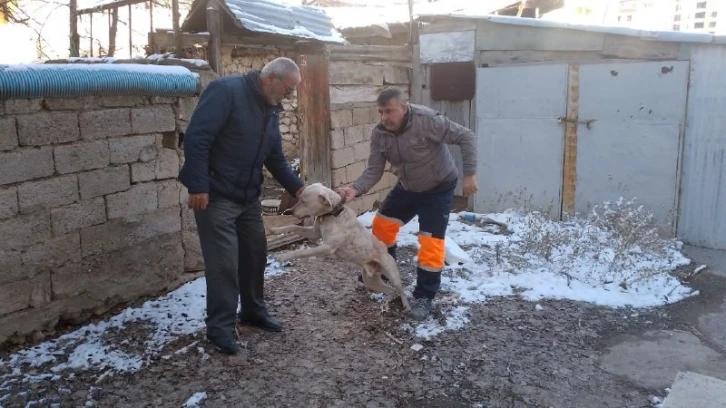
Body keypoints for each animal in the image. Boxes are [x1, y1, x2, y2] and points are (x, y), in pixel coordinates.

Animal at [270, 182, 412, 312]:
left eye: (304, 202)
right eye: (299, 199)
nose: (288, 212)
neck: (332, 215)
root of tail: (385, 252)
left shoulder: (327, 247)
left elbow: (302, 252)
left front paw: (283, 256)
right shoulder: (314, 234)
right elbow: (294, 227)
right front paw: (275, 230)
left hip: (392, 274)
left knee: (400, 290)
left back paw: (406, 306)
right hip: (370, 281)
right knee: (391, 290)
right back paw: (386, 305)